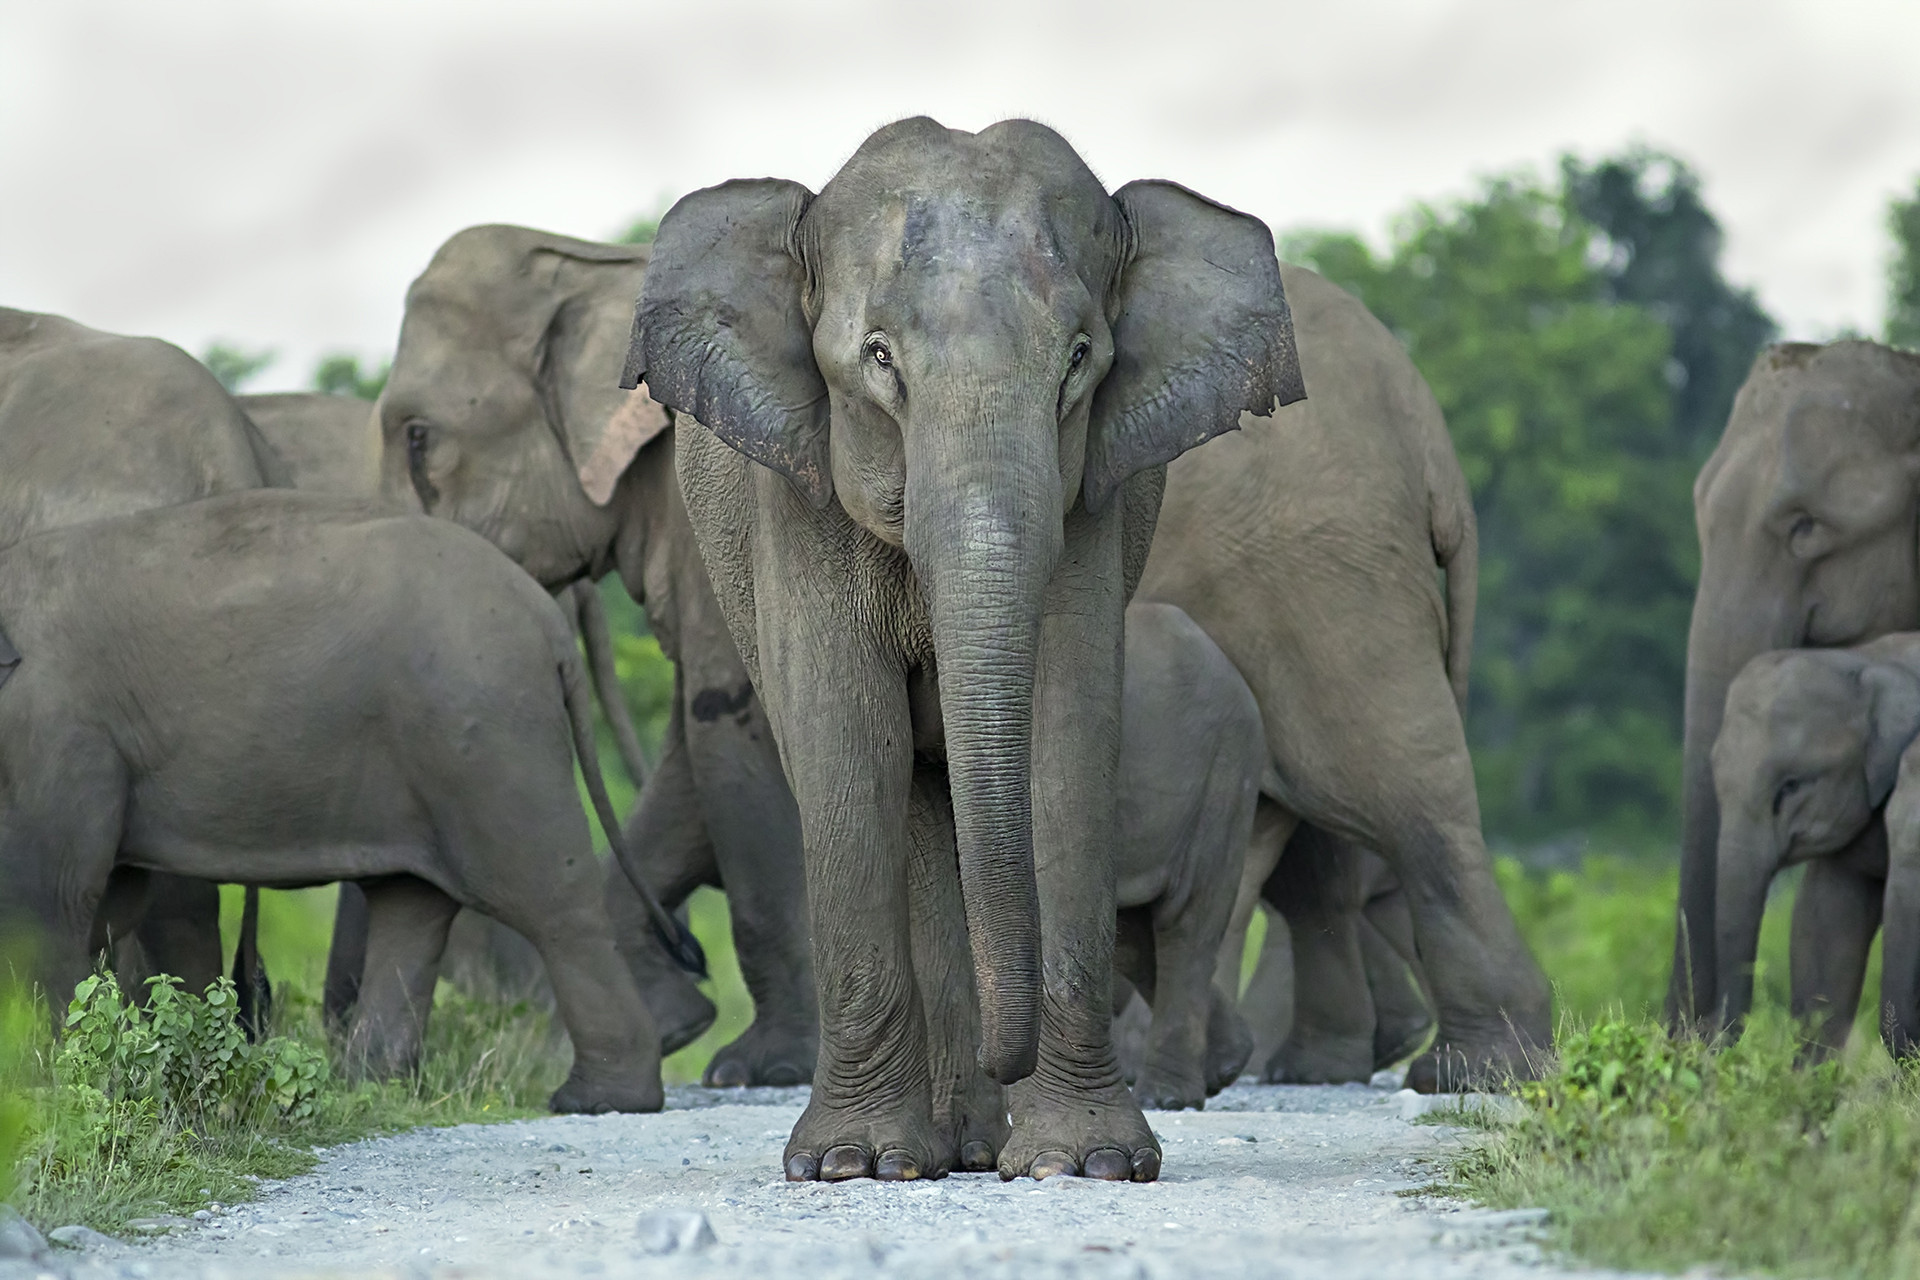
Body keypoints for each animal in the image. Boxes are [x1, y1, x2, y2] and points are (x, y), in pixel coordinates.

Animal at [0, 490, 691, 1112]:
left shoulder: (56, 731)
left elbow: (47, 899)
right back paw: (372, 1087)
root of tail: (549, 623)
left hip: (487, 739)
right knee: (411, 905)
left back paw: (598, 1100)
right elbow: (103, 901)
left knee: (549, 900)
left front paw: (44, 1080)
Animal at [375, 223, 815, 1085]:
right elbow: (691, 752)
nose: (690, 952)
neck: (595, 267)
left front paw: (760, 1069)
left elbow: (732, 728)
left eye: (417, 437)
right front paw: (677, 1024)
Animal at [629, 117, 1304, 1182]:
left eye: (1079, 360)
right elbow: (848, 742)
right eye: (877, 358)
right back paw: (938, 1149)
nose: (1007, 1052)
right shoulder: (800, 490)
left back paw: (976, 1145)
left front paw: (1084, 1163)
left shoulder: (1093, 498)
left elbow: (1065, 732)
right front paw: (849, 1165)